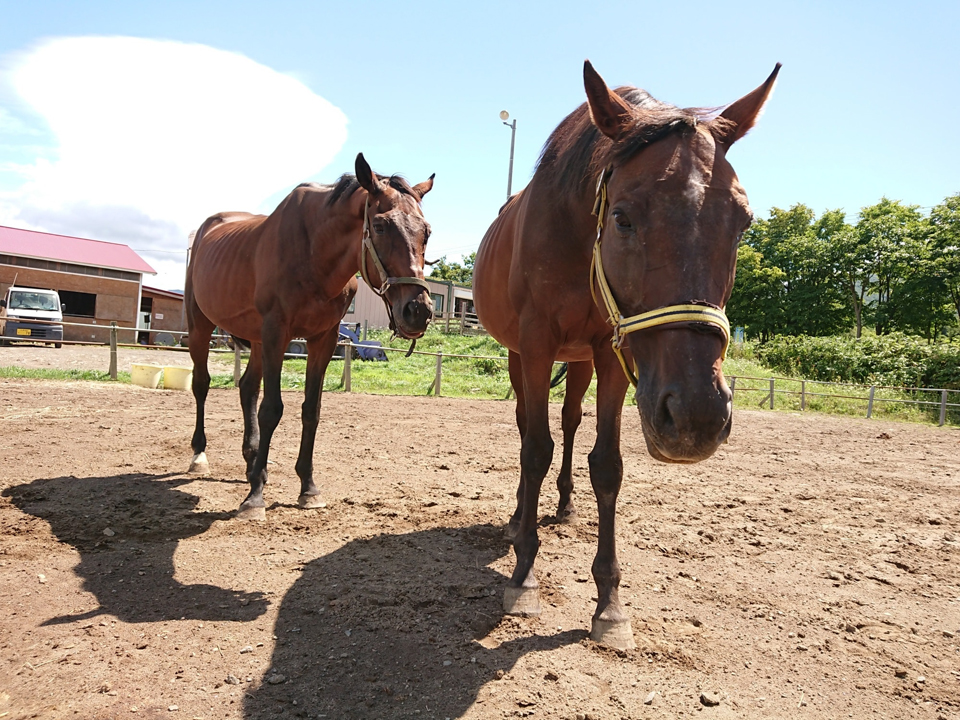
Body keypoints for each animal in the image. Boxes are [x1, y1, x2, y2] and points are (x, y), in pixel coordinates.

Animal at [185, 155, 438, 520]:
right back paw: (200, 456)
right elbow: (271, 409)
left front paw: (308, 488)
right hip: (200, 327)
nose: (418, 310)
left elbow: (311, 410)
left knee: (247, 388)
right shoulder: (277, 333)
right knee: (202, 384)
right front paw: (255, 499)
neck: (313, 254)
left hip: (256, 340)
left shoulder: (323, 340)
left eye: (426, 231)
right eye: (379, 226)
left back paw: (252, 463)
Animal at [472, 60, 780, 648]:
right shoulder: (536, 345)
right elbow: (534, 449)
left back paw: (564, 506)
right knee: (528, 428)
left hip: (579, 361)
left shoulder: (610, 353)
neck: (575, 237)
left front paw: (610, 604)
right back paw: (520, 517)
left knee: (570, 422)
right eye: (623, 218)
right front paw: (524, 574)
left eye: (743, 222)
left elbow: (606, 465)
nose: (697, 416)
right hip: (522, 357)